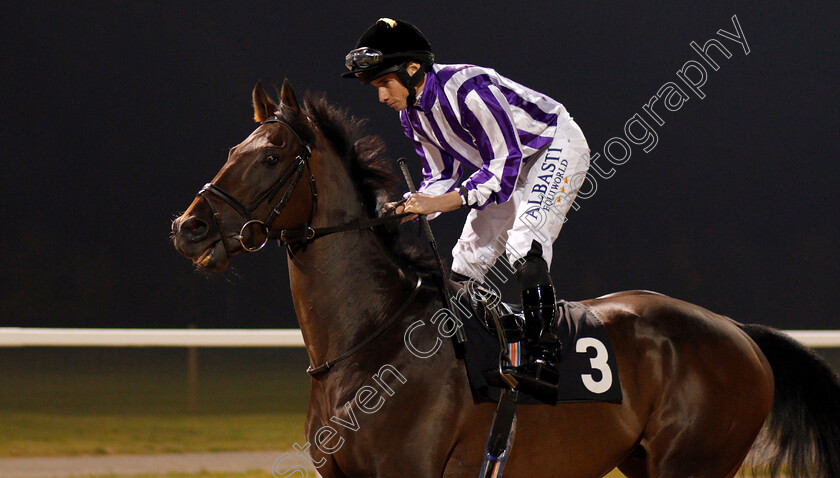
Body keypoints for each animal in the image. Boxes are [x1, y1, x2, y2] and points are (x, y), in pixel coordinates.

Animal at [171, 82, 840, 478]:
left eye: (271, 157)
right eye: (234, 149)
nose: (190, 228)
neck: (369, 343)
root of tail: (740, 333)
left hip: (694, 463)